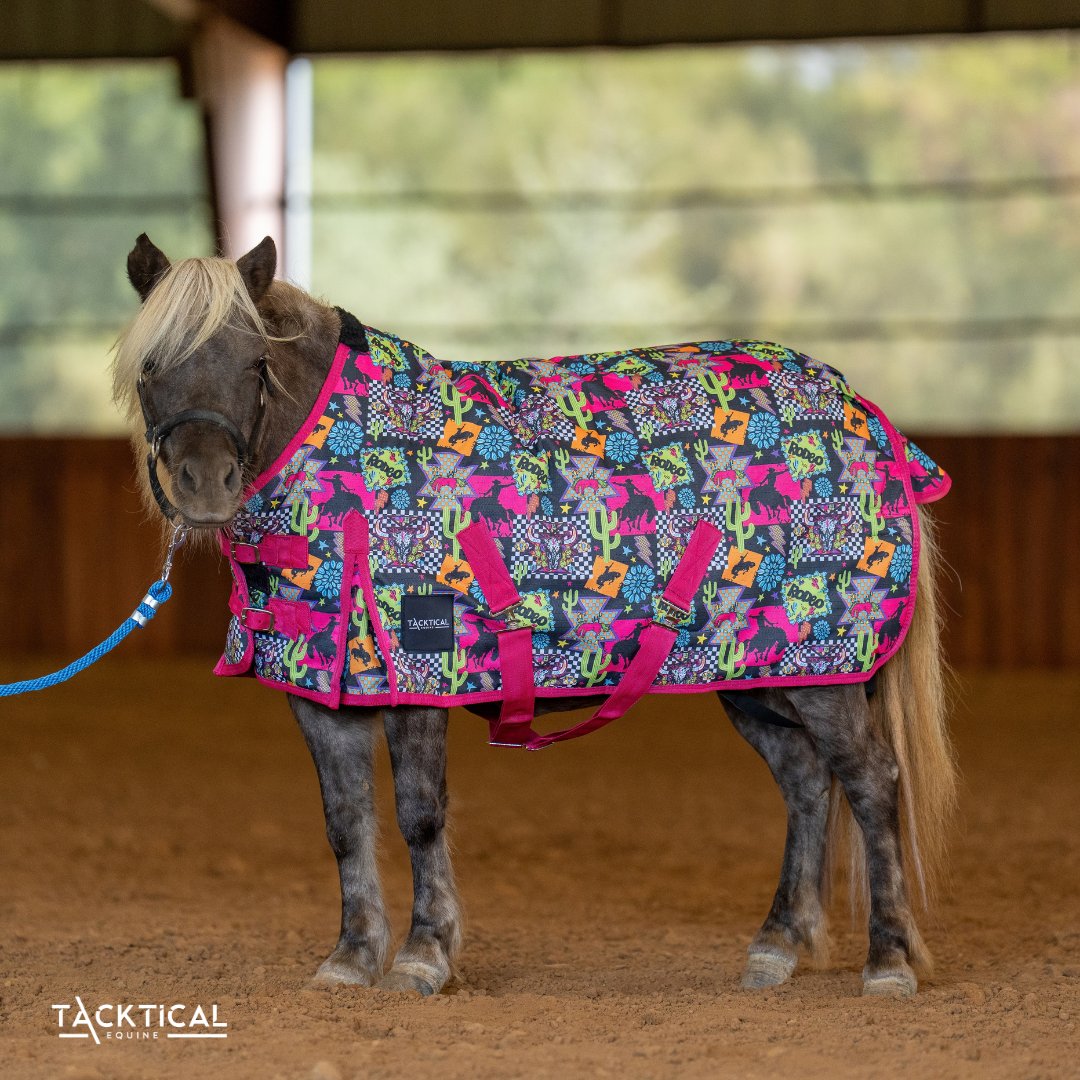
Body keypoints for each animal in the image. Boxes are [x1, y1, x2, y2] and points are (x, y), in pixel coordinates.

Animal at [112, 233, 957, 1001]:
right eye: (150, 369)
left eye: (254, 363)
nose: (205, 484)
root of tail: (861, 408)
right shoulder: (322, 689)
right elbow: (345, 821)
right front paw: (351, 957)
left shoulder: (422, 672)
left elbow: (418, 815)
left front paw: (424, 955)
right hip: (756, 676)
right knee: (808, 784)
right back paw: (779, 945)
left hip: (824, 677)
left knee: (872, 782)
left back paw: (887, 961)